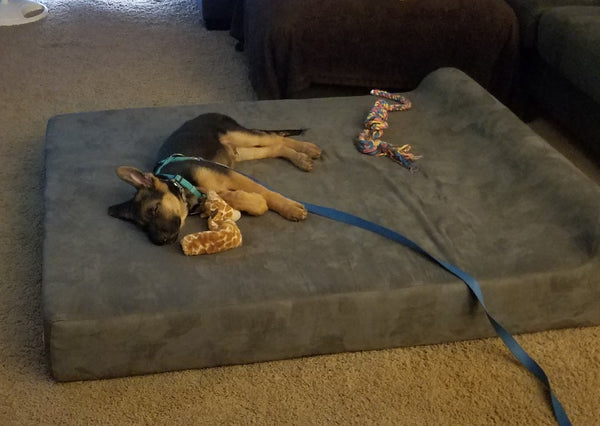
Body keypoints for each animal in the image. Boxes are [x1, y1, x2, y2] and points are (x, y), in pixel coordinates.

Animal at [108, 112, 324, 246]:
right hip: (240, 153)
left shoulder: (231, 175)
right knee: (276, 148)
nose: (160, 242)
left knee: (277, 139)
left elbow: (266, 193)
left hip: (242, 136)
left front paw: (288, 207)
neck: (181, 183)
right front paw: (246, 200)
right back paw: (300, 158)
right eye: (142, 227)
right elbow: (240, 198)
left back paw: (307, 149)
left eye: (154, 210)